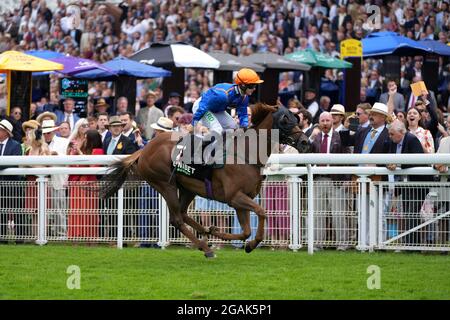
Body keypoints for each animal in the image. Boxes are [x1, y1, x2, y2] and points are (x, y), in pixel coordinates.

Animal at [101, 104, 310, 258]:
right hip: (165, 184)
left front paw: (230, 237)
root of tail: (144, 149)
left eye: (296, 118)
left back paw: (207, 233)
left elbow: (245, 231)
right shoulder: (235, 197)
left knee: (183, 213)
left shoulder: (240, 200)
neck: (246, 154)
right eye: (285, 120)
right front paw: (251, 244)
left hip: (188, 187)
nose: (305, 142)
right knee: (176, 219)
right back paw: (206, 247)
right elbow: (261, 212)